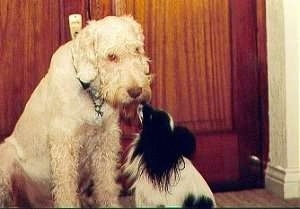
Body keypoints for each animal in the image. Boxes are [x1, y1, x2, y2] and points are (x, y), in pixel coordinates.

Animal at [0, 15, 151, 207]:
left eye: (137, 50)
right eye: (111, 56)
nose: (136, 92)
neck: (90, 94)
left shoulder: (106, 140)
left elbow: (106, 185)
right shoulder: (64, 143)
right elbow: (65, 190)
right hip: (6, 157)